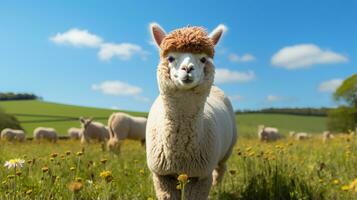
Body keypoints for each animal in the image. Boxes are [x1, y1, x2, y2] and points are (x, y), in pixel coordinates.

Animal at [145, 22, 236, 199]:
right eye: (170, 58)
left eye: (203, 59)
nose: (187, 68)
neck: (180, 154)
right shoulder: (161, 175)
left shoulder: (201, 175)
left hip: (227, 149)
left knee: (221, 169)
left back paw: (217, 189)